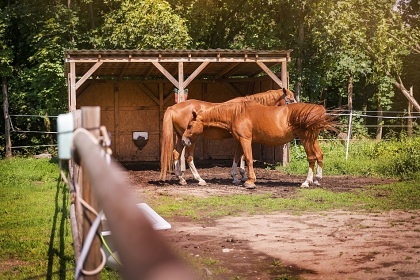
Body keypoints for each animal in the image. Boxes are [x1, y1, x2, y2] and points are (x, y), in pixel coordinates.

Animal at [160, 87, 296, 185]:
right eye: (291, 99)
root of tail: (173, 107)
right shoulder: (241, 139)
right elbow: (242, 156)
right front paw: (241, 176)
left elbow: (238, 156)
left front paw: (238, 176)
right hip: (191, 140)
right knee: (189, 157)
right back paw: (199, 179)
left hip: (181, 138)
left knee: (176, 153)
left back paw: (181, 179)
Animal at [182, 100, 336, 188]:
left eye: (190, 125)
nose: (184, 140)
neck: (236, 113)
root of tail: (319, 109)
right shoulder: (239, 140)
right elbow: (237, 158)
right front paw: (237, 179)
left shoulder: (245, 139)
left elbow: (249, 159)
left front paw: (250, 181)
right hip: (313, 139)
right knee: (319, 155)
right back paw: (317, 179)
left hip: (306, 139)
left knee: (311, 158)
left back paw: (306, 182)